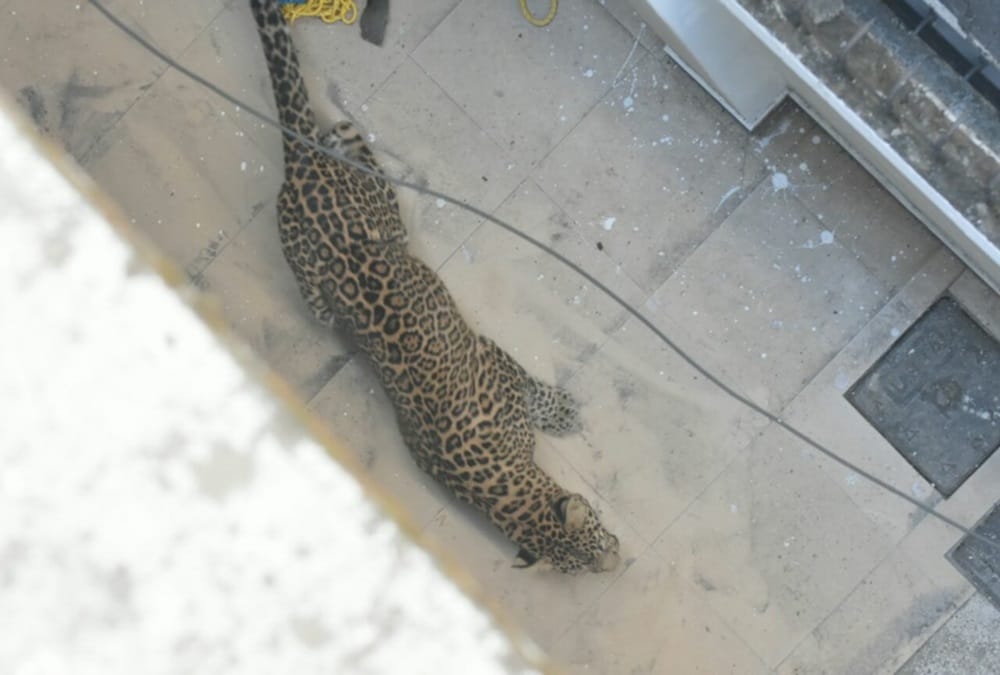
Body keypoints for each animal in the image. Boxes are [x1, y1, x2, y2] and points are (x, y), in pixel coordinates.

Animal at [249, 0, 620, 573]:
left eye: (597, 544)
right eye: (588, 558)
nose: (618, 563)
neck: (503, 486)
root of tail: (302, 167)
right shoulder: (498, 367)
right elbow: (534, 389)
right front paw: (563, 413)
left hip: (314, 281)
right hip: (382, 214)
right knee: (350, 139)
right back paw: (340, 137)